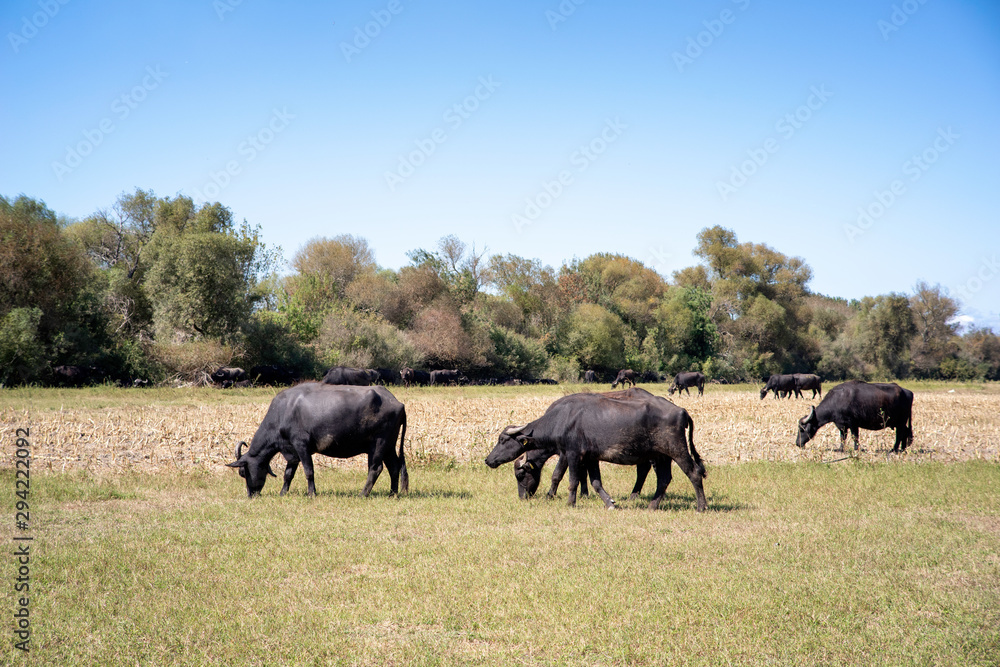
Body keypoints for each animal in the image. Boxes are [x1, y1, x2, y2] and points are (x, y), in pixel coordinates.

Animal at [229, 384, 408, 498]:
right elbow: (288, 474)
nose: (251, 495)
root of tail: (397, 402)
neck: (283, 412)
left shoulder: (301, 445)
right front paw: (283, 493)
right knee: (394, 467)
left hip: (378, 444)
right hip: (389, 446)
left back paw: (362, 494)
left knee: (375, 469)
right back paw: (393, 494)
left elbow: (309, 471)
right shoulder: (291, 451)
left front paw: (311, 493)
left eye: (242, 472)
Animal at [486, 392, 708, 512]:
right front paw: (609, 503)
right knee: (663, 479)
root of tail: (680, 410)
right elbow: (595, 482)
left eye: (502, 440)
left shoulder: (571, 454)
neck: (562, 419)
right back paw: (652, 505)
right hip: (661, 456)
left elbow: (568, 479)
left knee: (694, 473)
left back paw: (701, 506)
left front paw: (568, 502)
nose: (488, 460)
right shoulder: (591, 458)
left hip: (677, 450)